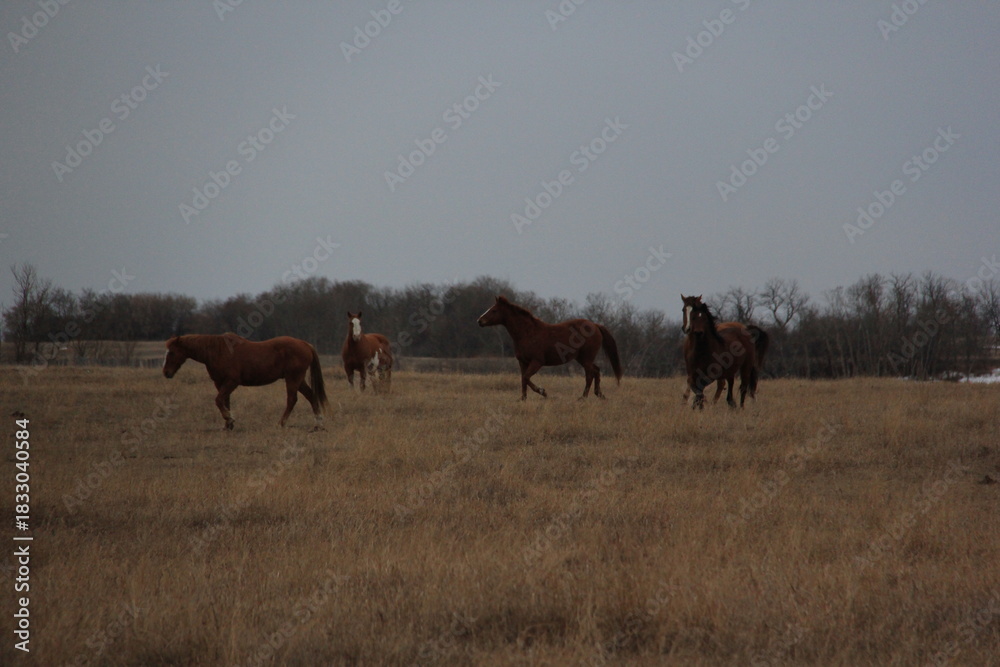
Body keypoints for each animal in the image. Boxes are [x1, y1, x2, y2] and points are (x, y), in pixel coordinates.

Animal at [162, 333, 329, 430]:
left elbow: (218, 400)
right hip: (298, 379)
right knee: (311, 396)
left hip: (293, 378)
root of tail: (306, 344)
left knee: (292, 400)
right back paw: (318, 424)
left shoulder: (232, 382)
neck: (218, 350)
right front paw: (228, 425)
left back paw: (281, 423)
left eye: (172, 352)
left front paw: (229, 418)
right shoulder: (220, 383)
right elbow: (224, 401)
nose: (166, 373)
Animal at [477, 295, 623, 400]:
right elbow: (523, 379)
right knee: (596, 370)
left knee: (590, 374)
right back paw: (599, 394)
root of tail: (595, 325)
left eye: (494, 310)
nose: (479, 321)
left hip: (586, 358)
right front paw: (523, 399)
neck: (527, 333)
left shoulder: (537, 362)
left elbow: (527, 378)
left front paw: (543, 392)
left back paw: (583, 397)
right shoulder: (522, 362)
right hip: (582, 358)